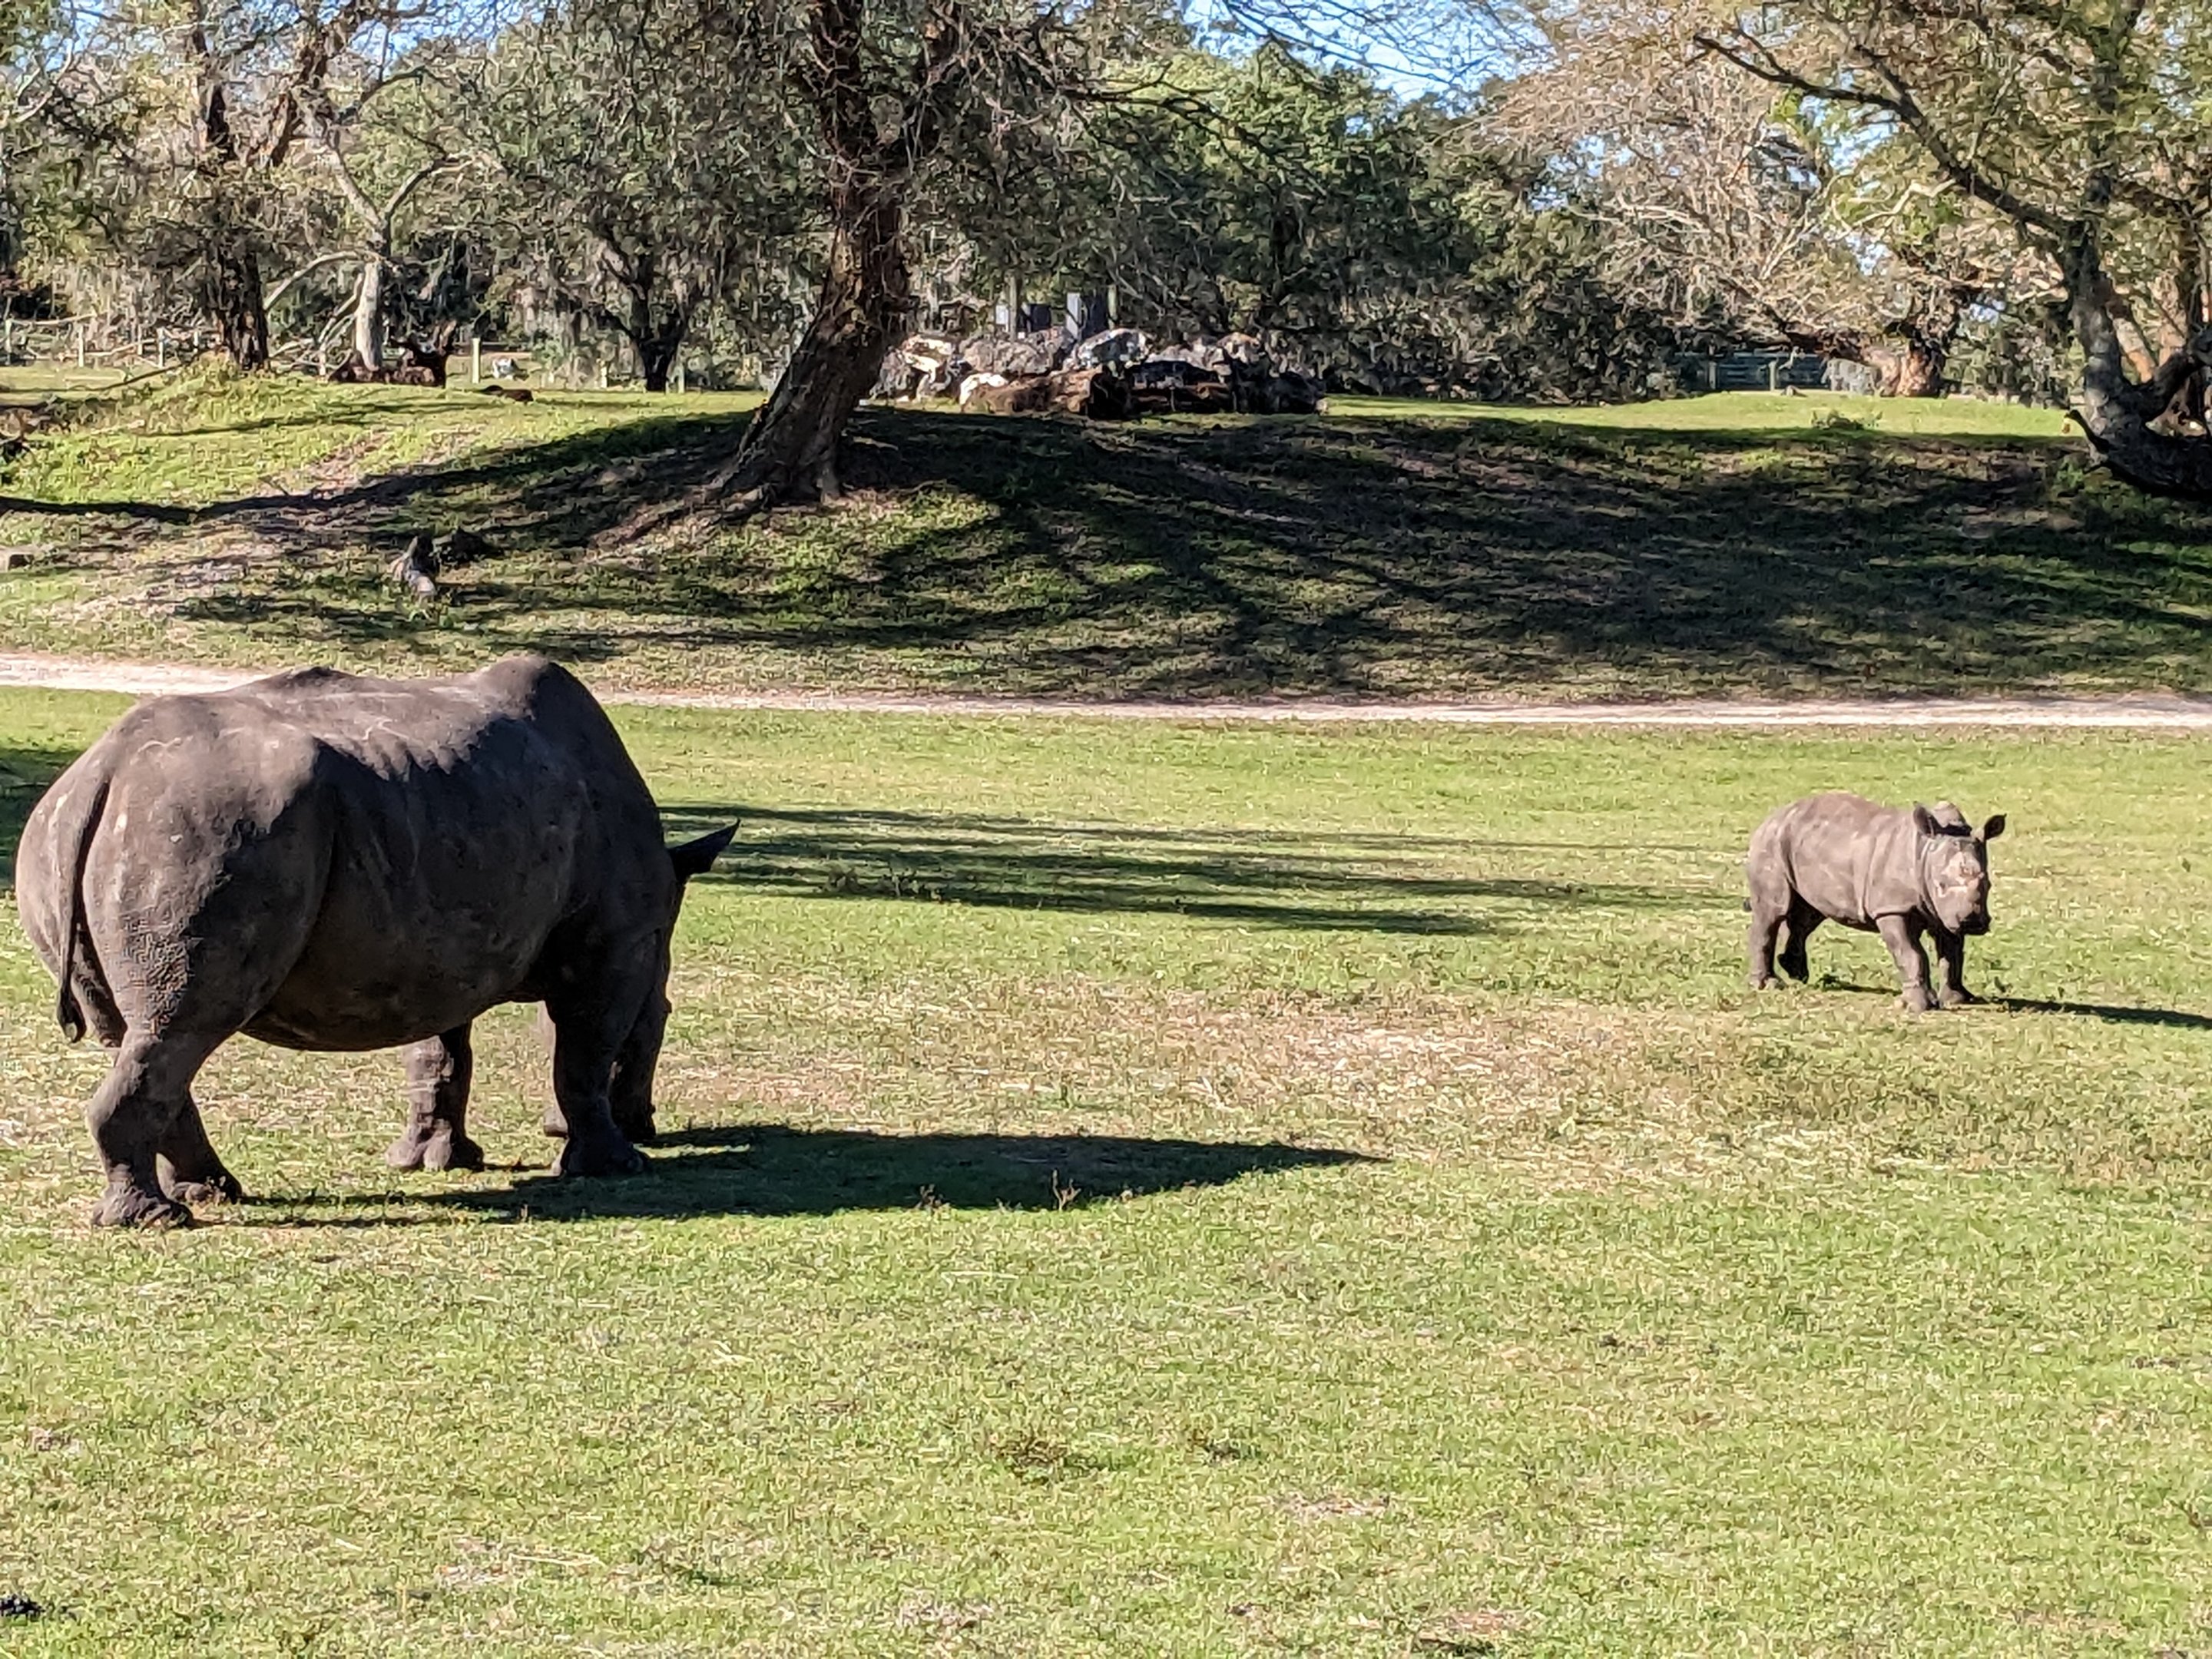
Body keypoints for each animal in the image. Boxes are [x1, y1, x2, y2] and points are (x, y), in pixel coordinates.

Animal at [14, 655, 734, 1228]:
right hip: (201, 831)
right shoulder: (616, 945)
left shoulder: (435, 937)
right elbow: (584, 1052)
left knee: (143, 1034)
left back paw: (212, 1194)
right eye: (664, 1024)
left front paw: (436, 1160)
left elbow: (442, 1049)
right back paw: (158, 1220)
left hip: (74, 839)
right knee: (183, 1024)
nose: (650, 1124)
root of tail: (105, 772)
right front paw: (615, 1165)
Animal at [1748, 791, 2005, 1012]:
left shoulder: (1945, 913)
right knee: (1773, 911)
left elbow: (1952, 954)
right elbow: (1910, 953)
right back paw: (1768, 985)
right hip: (1772, 844)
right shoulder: (1891, 908)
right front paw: (1916, 1006)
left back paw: (1796, 972)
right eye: (1940, 884)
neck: (1924, 852)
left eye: (1988, 885)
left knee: (1809, 915)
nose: (1973, 922)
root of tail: (1772, 817)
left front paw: (1959, 999)